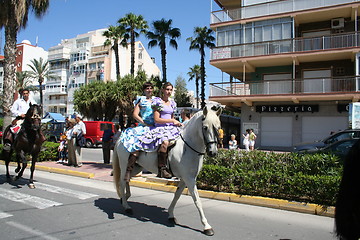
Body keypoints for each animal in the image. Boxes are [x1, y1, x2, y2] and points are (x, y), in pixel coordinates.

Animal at [112, 106, 221, 235]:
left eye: (218, 127)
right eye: (205, 127)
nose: (213, 152)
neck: (187, 147)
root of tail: (121, 139)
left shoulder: (185, 179)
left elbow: (177, 195)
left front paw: (171, 215)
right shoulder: (189, 179)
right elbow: (197, 200)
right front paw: (207, 226)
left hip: (136, 167)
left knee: (126, 179)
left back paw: (125, 197)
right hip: (124, 165)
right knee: (122, 182)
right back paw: (126, 206)